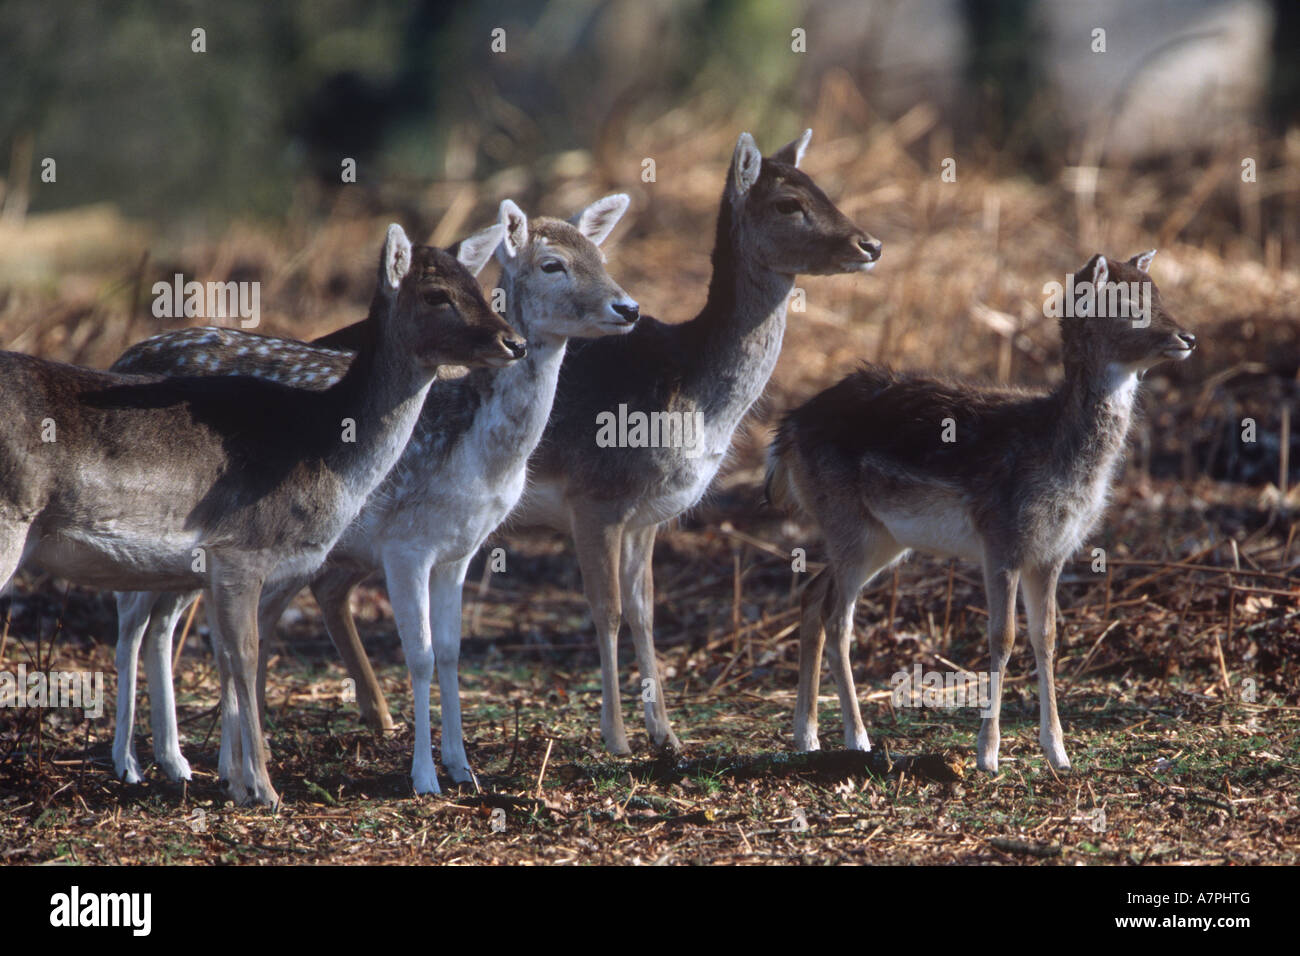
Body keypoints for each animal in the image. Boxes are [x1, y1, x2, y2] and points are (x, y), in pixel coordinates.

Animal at [0, 218, 520, 806]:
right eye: (436, 295)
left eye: (480, 286)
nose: (515, 341)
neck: (323, 449)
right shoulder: (239, 551)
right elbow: (245, 655)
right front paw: (264, 789)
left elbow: (228, 656)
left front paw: (238, 781)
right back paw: (138, 764)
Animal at [111, 195, 639, 790]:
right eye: (553, 264)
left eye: (600, 255)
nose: (629, 308)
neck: (480, 454)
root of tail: (122, 356)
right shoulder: (405, 545)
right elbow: (420, 655)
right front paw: (425, 777)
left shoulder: (460, 551)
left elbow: (452, 653)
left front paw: (463, 768)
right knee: (132, 620)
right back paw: (132, 763)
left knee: (166, 624)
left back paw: (183, 762)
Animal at [506, 128, 883, 754]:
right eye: (788, 203)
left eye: (821, 186)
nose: (870, 244)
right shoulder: (596, 497)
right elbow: (607, 610)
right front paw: (617, 739)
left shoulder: (647, 516)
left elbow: (644, 610)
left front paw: (668, 736)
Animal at [759, 252, 1196, 770]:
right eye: (1127, 303)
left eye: (1160, 293)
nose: (1187, 337)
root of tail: (784, 435)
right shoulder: (1000, 539)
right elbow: (1002, 637)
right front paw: (988, 754)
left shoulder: (1052, 552)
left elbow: (1047, 637)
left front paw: (1059, 753)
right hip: (849, 524)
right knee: (836, 615)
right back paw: (857, 737)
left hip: (880, 539)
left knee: (811, 593)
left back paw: (806, 737)